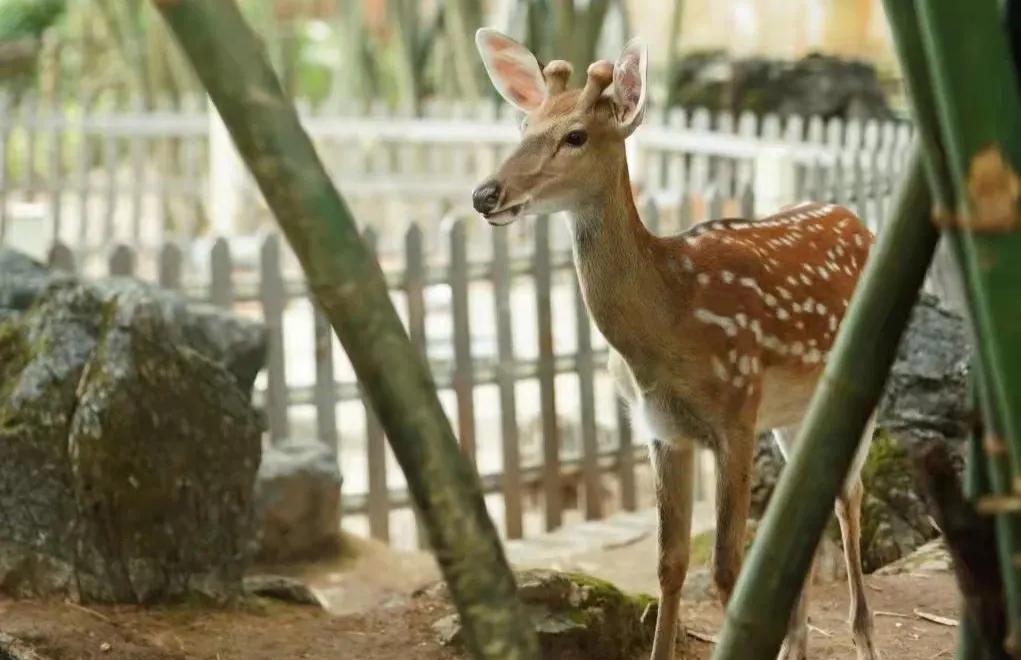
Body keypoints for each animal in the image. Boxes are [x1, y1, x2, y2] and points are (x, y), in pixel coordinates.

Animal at [473, 28, 882, 660]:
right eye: (523, 125)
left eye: (575, 135)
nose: (485, 195)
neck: (669, 322)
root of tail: (857, 220)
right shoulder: (661, 429)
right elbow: (670, 563)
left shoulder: (736, 414)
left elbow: (726, 567)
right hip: (793, 413)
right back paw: (798, 640)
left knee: (848, 493)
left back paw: (862, 636)